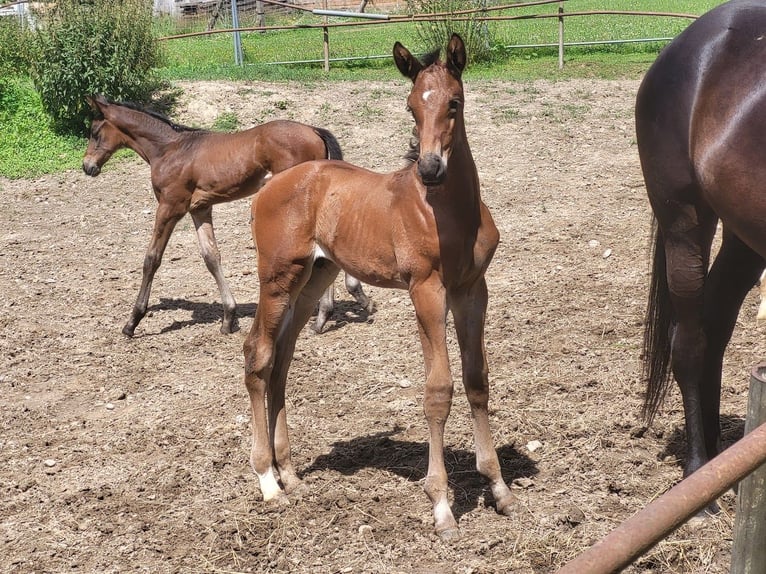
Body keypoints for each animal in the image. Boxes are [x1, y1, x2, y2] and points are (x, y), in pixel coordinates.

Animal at [243, 35, 520, 540]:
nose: (429, 167)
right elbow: (438, 390)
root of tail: (270, 186)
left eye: (454, 102)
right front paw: (442, 507)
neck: (447, 212)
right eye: (411, 106)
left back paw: (289, 472)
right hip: (277, 277)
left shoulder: (473, 289)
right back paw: (268, 482)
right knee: (258, 354)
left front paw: (499, 489)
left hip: (314, 277)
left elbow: (477, 381)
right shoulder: (426, 290)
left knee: (281, 361)